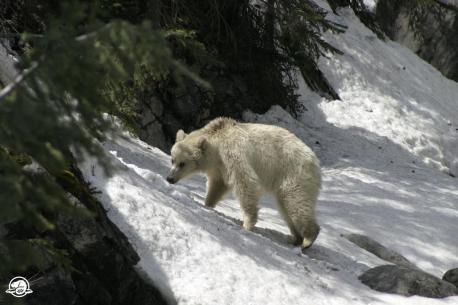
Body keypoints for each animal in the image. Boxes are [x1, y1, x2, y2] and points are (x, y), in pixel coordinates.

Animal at [166, 116, 320, 247]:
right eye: (172, 159)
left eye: (182, 163)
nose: (170, 178)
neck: (218, 140)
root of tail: (314, 161)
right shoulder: (219, 166)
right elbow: (218, 185)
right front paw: (207, 204)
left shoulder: (233, 154)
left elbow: (245, 182)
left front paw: (247, 224)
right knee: (285, 206)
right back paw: (296, 238)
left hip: (293, 173)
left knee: (295, 201)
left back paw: (308, 239)